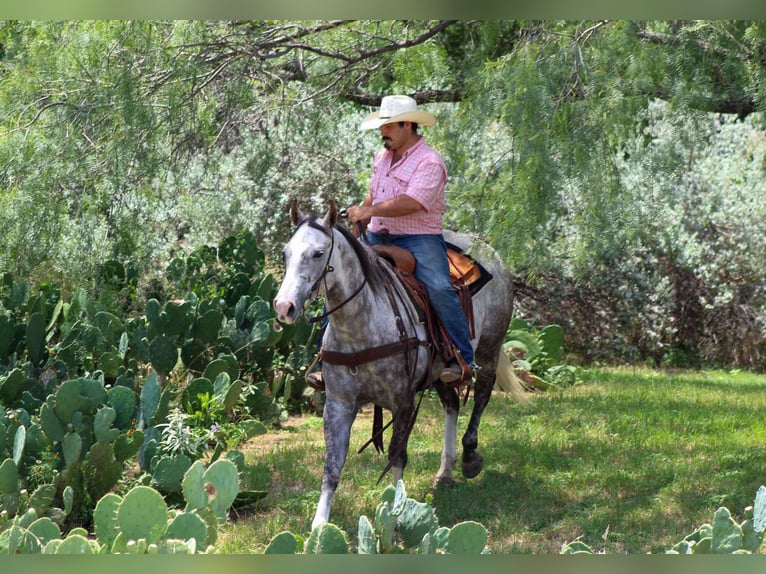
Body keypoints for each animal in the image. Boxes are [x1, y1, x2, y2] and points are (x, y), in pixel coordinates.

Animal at [273, 200, 526, 530]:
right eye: (286, 252)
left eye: (317, 253)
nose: (284, 306)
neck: (361, 326)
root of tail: (492, 254)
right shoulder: (338, 403)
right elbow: (333, 464)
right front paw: (319, 527)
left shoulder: (402, 401)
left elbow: (397, 455)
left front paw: (393, 517)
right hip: (439, 373)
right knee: (452, 404)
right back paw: (445, 472)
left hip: (489, 348)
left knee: (482, 395)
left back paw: (470, 457)